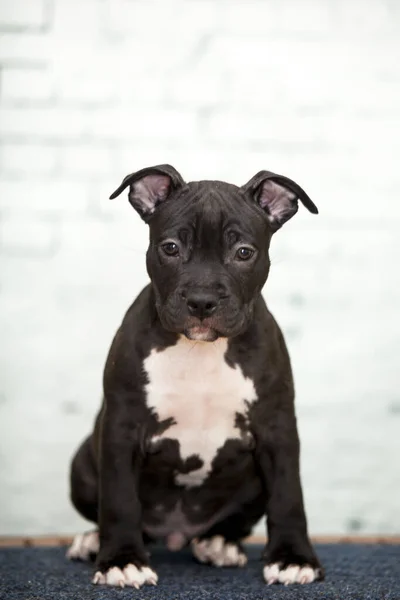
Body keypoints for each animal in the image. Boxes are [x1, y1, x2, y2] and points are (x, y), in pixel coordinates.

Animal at [68, 164, 324, 584]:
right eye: (171, 247)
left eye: (243, 252)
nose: (202, 301)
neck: (201, 350)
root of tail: (176, 534)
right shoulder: (121, 428)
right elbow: (120, 500)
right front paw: (121, 559)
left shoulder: (278, 429)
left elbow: (289, 497)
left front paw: (293, 558)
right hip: (83, 465)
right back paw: (93, 541)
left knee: (237, 521)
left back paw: (219, 543)